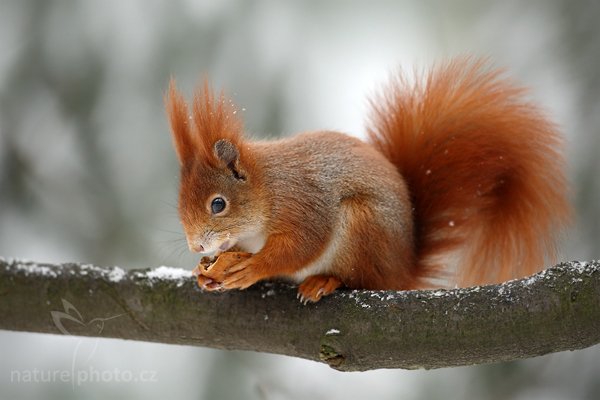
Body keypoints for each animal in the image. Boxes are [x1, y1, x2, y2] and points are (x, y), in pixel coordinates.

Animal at [165, 57, 572, 304]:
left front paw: (252, 268)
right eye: (179, 206)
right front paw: (205, 271)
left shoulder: (302, 202)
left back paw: (324, 281)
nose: (196, 247)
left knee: (359, 278)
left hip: (362, 228)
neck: (267, 187)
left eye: (218, 204)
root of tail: (402, 268)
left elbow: (302, 245)